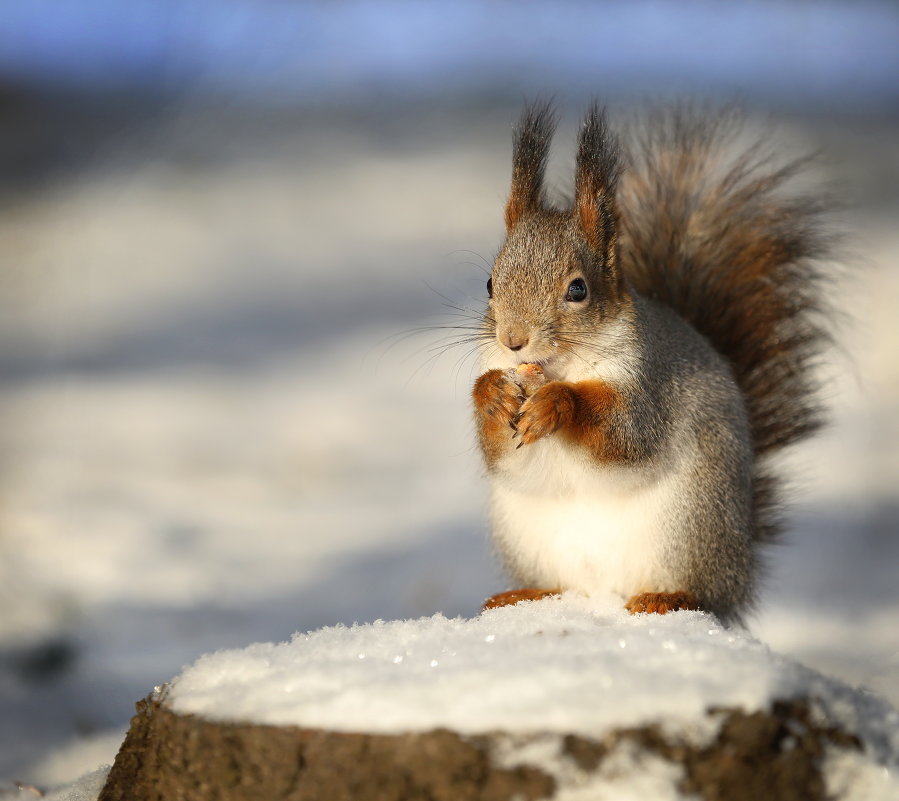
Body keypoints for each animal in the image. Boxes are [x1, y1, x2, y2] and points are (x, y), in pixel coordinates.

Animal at [474, 101, 832, 624]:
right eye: (489, 283)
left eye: (578, 289)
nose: (513, 340)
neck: (561, 366)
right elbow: (501, 456)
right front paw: (493, 394)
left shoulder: (649, 383)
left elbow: (626, 435)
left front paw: (558, 404)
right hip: (526, 537)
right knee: (558, 585)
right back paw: (524, 596)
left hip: (690, 526)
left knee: (702, 595)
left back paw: (668, 598)